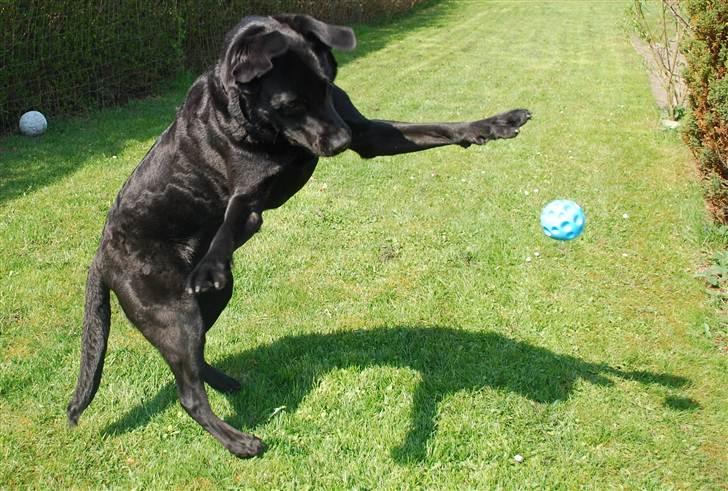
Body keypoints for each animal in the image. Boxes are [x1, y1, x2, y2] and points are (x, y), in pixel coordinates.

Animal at [68, 15, 532, 462]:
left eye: (328, 83)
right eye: (289, 103)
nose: (341, 141)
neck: (250, 120)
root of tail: (101, 254)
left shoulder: (368, 133)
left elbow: (436, 127)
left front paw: (497, 124)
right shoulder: (246, 199)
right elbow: (229, 224)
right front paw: (210, 263)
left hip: (211, 301)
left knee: (195, 362)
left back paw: (224, 381)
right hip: (173, 311)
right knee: (188, 394)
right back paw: (240, 442)